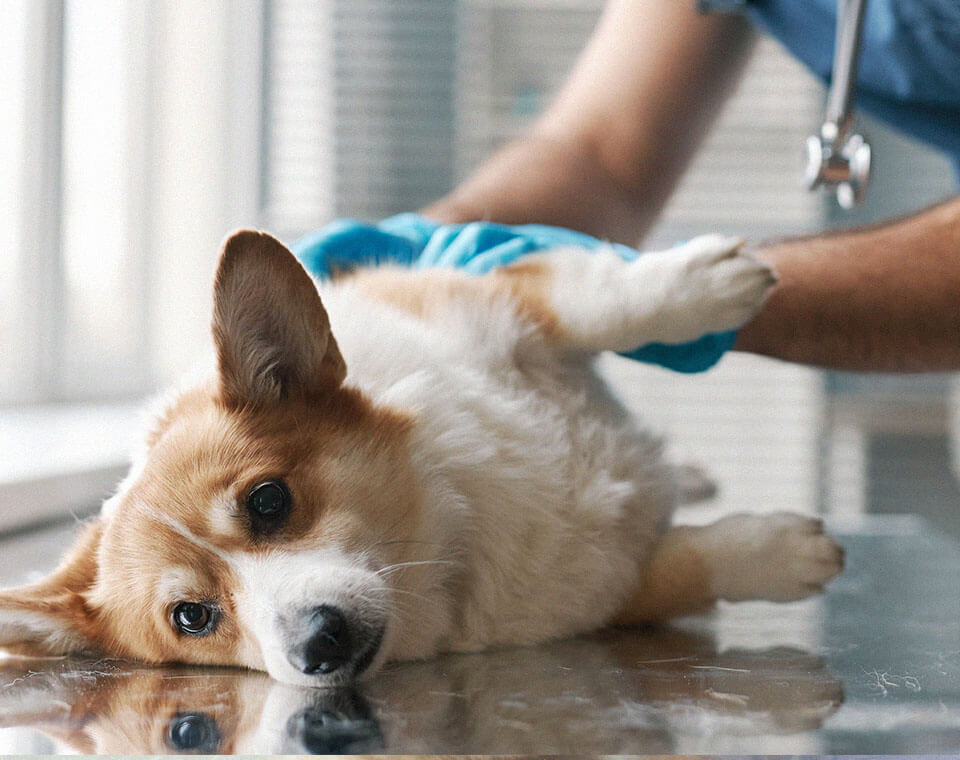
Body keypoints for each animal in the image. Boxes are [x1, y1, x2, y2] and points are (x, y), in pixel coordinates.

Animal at [0, 229, 840, 684]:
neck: (450, 533)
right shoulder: (608, 588)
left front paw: (707, 283)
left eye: (268, 501)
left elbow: (600, 303)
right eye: (192, 618)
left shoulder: (484, 297)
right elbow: (689, 566)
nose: (317, 645)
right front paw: (786, 553)